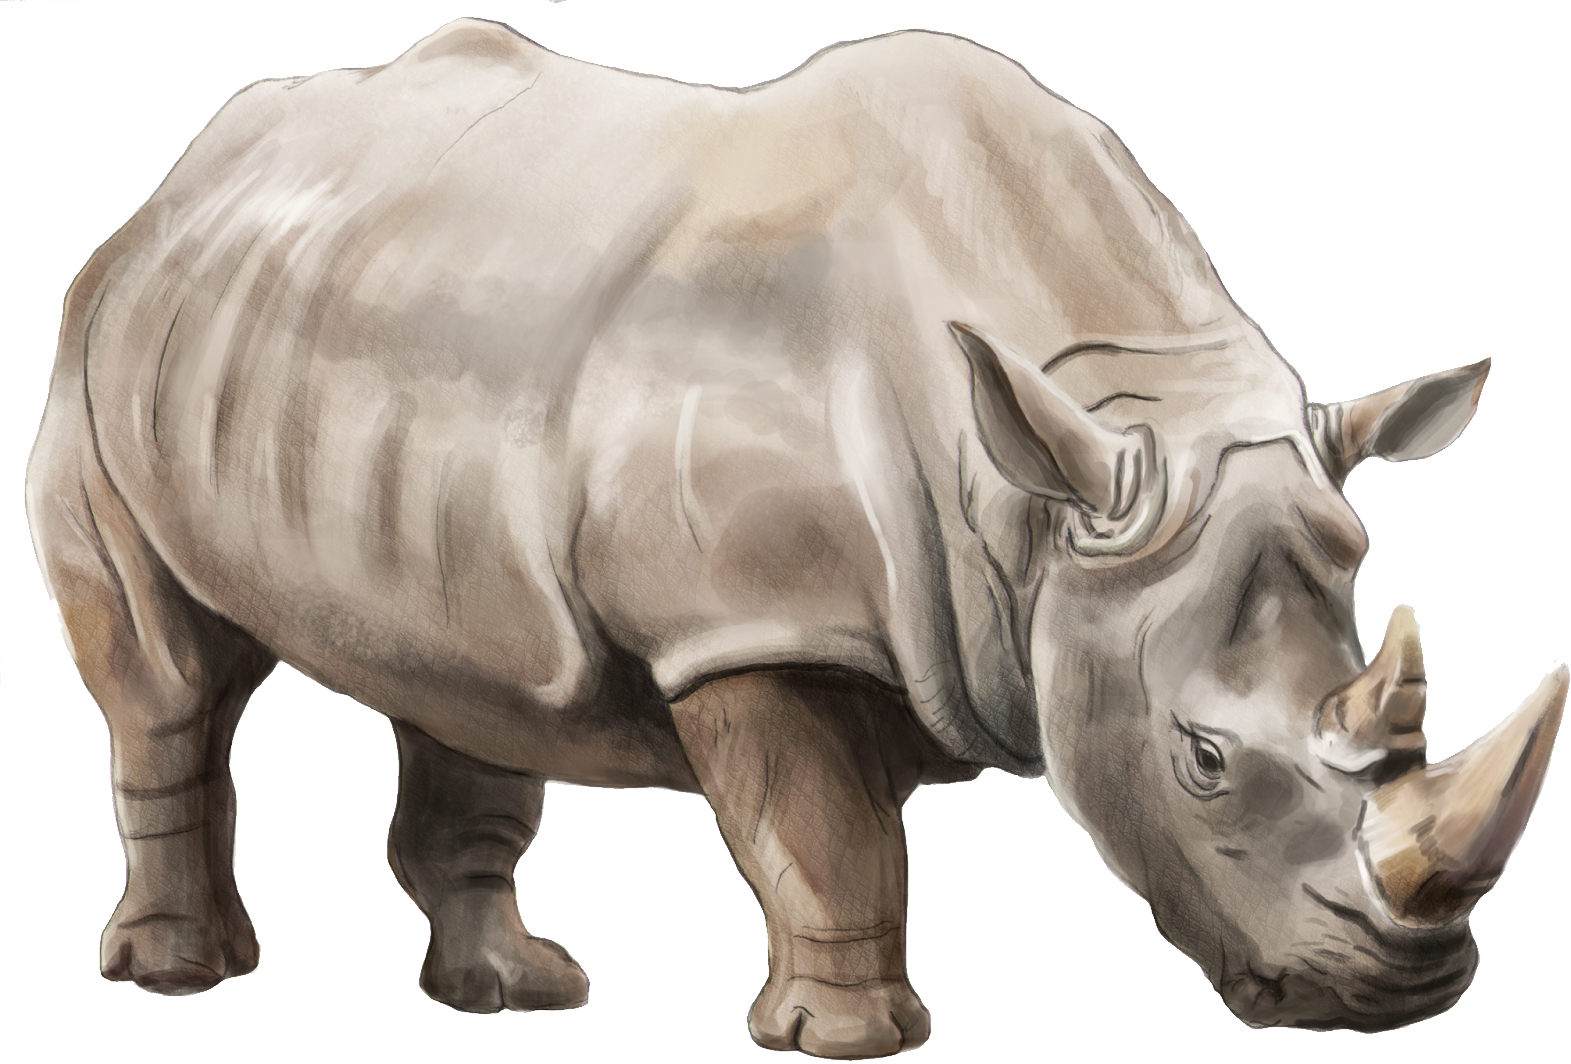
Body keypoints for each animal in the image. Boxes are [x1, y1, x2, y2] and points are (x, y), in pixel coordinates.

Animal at [26, 18, 1563, 1057]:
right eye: (1198, 757)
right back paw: (177, 977)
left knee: (465, 674)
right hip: (92, 343)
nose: (1402, 998)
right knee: (166, 674)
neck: (1044, 486)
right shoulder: (750, 625)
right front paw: (851, 1040)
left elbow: (825, 832)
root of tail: (184, 178)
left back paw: (519, 992)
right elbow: (824, 837)